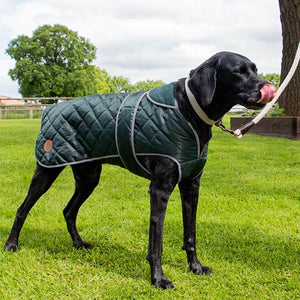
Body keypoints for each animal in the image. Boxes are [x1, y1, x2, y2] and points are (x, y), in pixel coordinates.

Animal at [4, 51, 276, 288]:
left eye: (255, 69)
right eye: (238, 71)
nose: (268, 88)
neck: (188, 108)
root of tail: (49, 108)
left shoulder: (191, 186)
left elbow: (190, 234)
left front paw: (195, 267)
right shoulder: (160, 189)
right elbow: (156, 243)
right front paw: (159, 279)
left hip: (88, 177)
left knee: (68, 210)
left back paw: (78, 243)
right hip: (47, 170)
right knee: (22, 209)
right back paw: (11, 244)